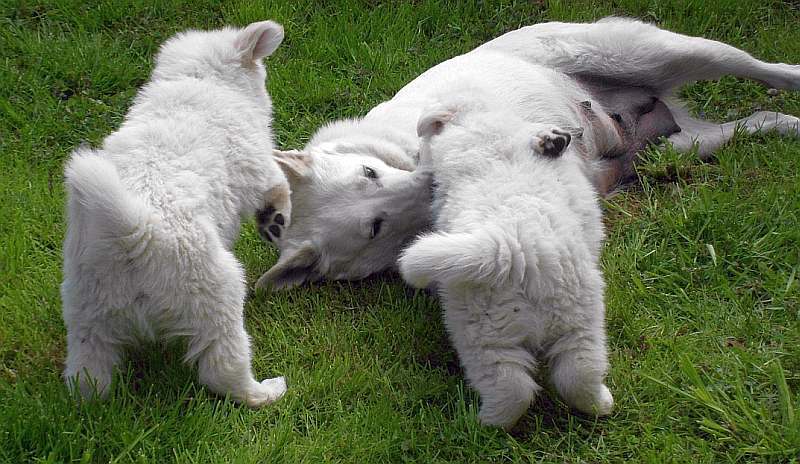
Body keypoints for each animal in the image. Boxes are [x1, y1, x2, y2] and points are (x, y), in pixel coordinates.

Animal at [61, 20, 290, 406]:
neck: (200, 79)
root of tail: (133, 233)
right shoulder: (258, 167)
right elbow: (280, 186)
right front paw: (275, 220)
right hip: (218, 292)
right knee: (222, 367)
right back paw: (264, 393)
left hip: (88, 312)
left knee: (88, 377)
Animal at [260, 18, 800, 288]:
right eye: (373, 227)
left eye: (370, 172)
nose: (432, 182)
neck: (400, 151)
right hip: (682, 146)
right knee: (755, 121)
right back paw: (787, 124)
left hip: (656, 53)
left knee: (761, 68)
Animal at [400, 96, 612, 430]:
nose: (415, 156)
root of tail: (513, 249)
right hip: (576, 321)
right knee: (570, 375)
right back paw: (599, 403)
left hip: (480, 329)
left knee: (513, 386)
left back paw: (482, 421)